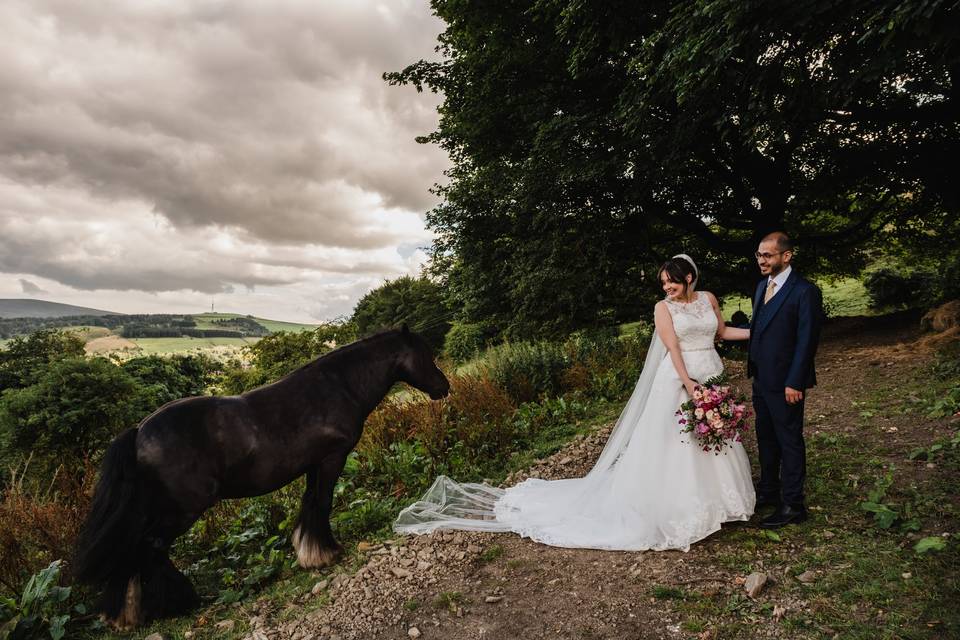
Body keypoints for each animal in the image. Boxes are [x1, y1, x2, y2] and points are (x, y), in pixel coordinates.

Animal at [75, 328, 450, 628]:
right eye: (425, 355)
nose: (444, 387)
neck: (337, 387)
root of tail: (139, 431)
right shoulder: (332, 460)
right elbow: (323, 503)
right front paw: (326, 552)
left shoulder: (314, 465)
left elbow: (310, 504)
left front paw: (310, 552)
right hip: (182, 509)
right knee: (150, 548)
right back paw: (179, 602)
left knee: (134, 550)